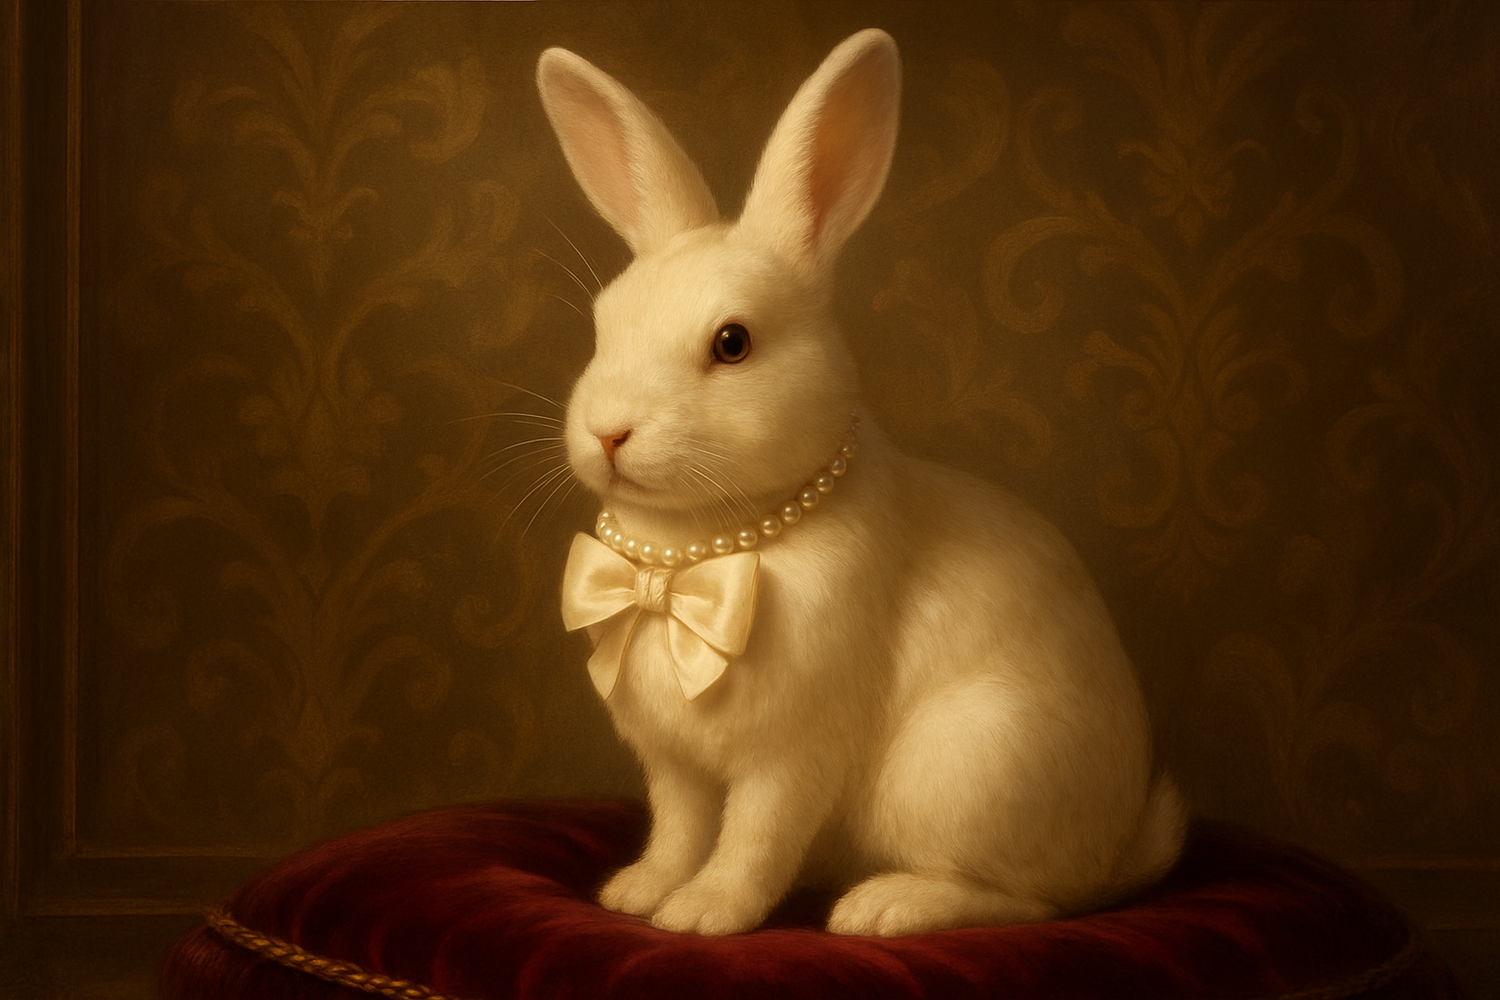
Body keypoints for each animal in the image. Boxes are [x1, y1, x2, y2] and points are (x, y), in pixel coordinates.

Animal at [538, 28, 1187, 937]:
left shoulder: (793, 753)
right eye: (603, 327)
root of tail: (1120, 847)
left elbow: (753, 840)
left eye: (732, 344)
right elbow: (679, 829)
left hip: (968, 769)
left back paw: (883, 908)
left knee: (1032, 900)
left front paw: (704, 915)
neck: (697, 554)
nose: (608, 432)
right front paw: (638, 893)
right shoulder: (676, 765)